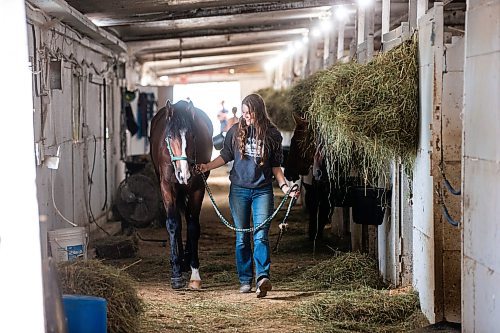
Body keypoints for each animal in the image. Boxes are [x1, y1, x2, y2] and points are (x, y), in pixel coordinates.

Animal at [148, 99, 211, 288]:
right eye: (169, 137)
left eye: (193, 136)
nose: (184, 174)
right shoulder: (166, 187)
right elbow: (173, 224)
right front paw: (176, 273)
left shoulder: (198, 188)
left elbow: (193, 226)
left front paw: (195, 272)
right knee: (179, 221)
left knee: (189, 219)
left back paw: (187, 259)